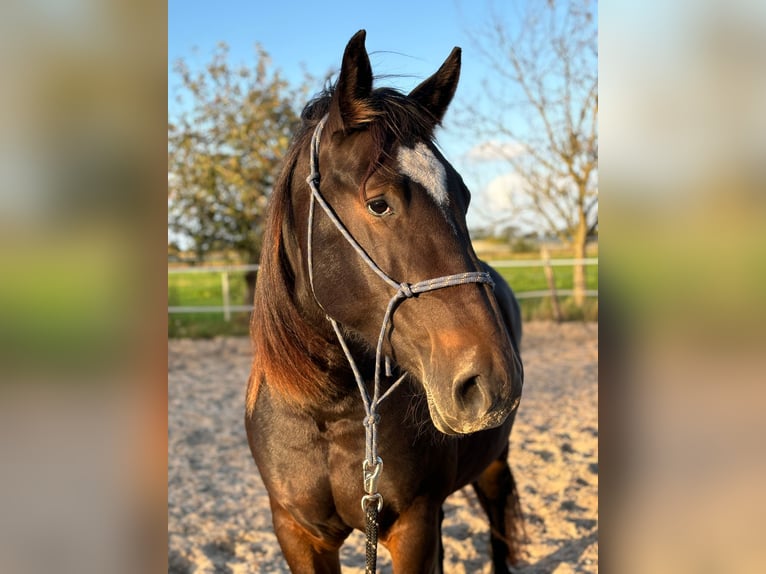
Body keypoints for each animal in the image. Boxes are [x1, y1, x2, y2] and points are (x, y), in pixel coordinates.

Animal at [249, 31, 524, 574]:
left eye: (463, 196)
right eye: (379, 203)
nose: (493, 382)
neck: (329, 410)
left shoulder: (412, 525)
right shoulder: (297, 533)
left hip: (491, 463)